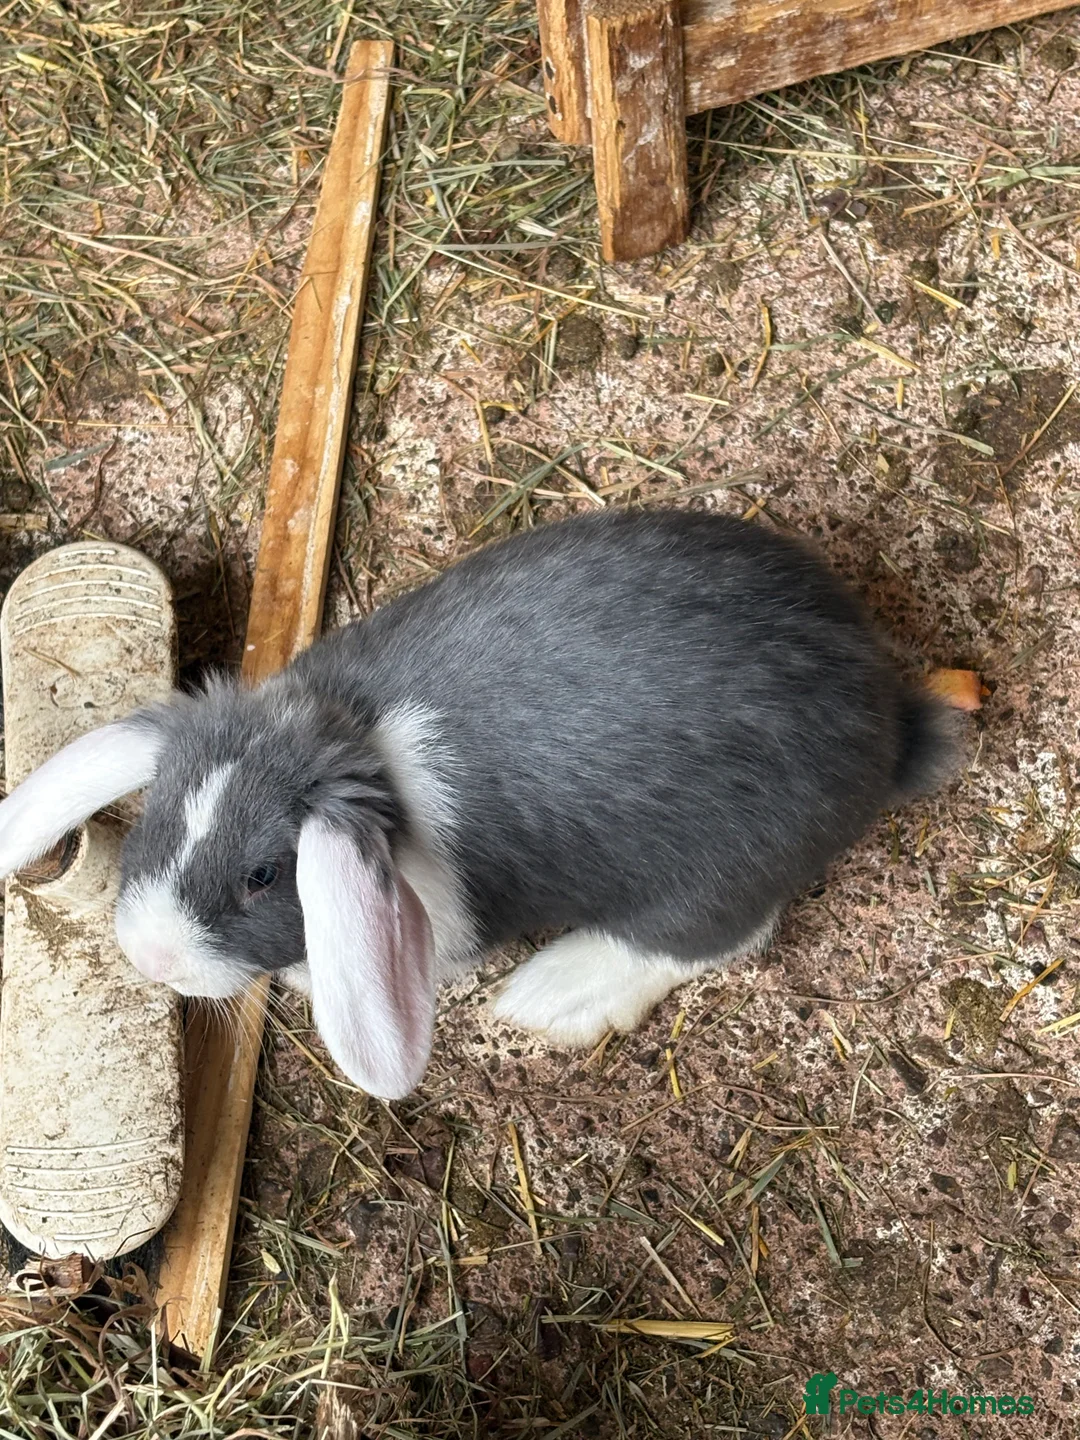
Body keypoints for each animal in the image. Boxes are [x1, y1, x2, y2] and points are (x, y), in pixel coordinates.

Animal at [0, 510, 960, 1100]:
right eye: (158, 813)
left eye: (265, 876)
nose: (152, 956)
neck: (350, 744)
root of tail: (889, 724)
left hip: (716, 875)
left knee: (719, 937)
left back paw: (552, 995)